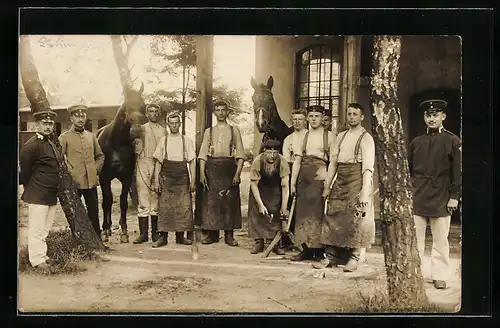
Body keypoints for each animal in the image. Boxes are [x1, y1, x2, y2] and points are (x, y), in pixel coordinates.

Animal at [96, 82, 146, 242]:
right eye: (127, 106)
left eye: (143, 105)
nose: (136, 130)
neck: (116, 142)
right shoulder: (104, 177)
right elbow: (106, 201)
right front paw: (105, 230)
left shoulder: (127, 177)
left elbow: (123, 201)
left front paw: (124, 232)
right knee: (108, 201)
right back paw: (107, 228)